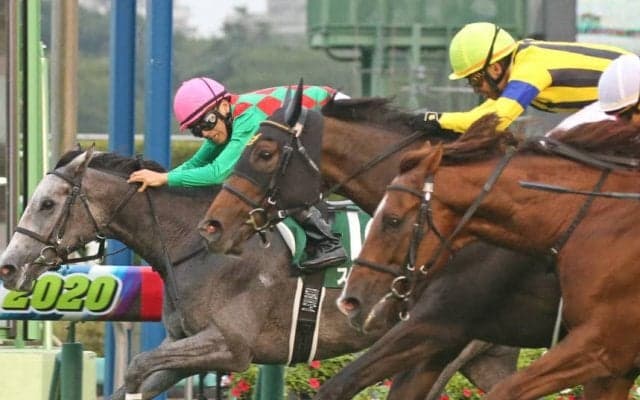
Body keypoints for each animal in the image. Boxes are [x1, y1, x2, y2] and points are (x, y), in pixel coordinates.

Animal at [0, 147, 503, 400]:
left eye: (47, 203)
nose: (9, 266)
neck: (196, 244)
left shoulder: (231, 346)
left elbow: (139, 366)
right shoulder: (183, 344)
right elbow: (136, 378)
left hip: (436, 345)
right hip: (483, 356)